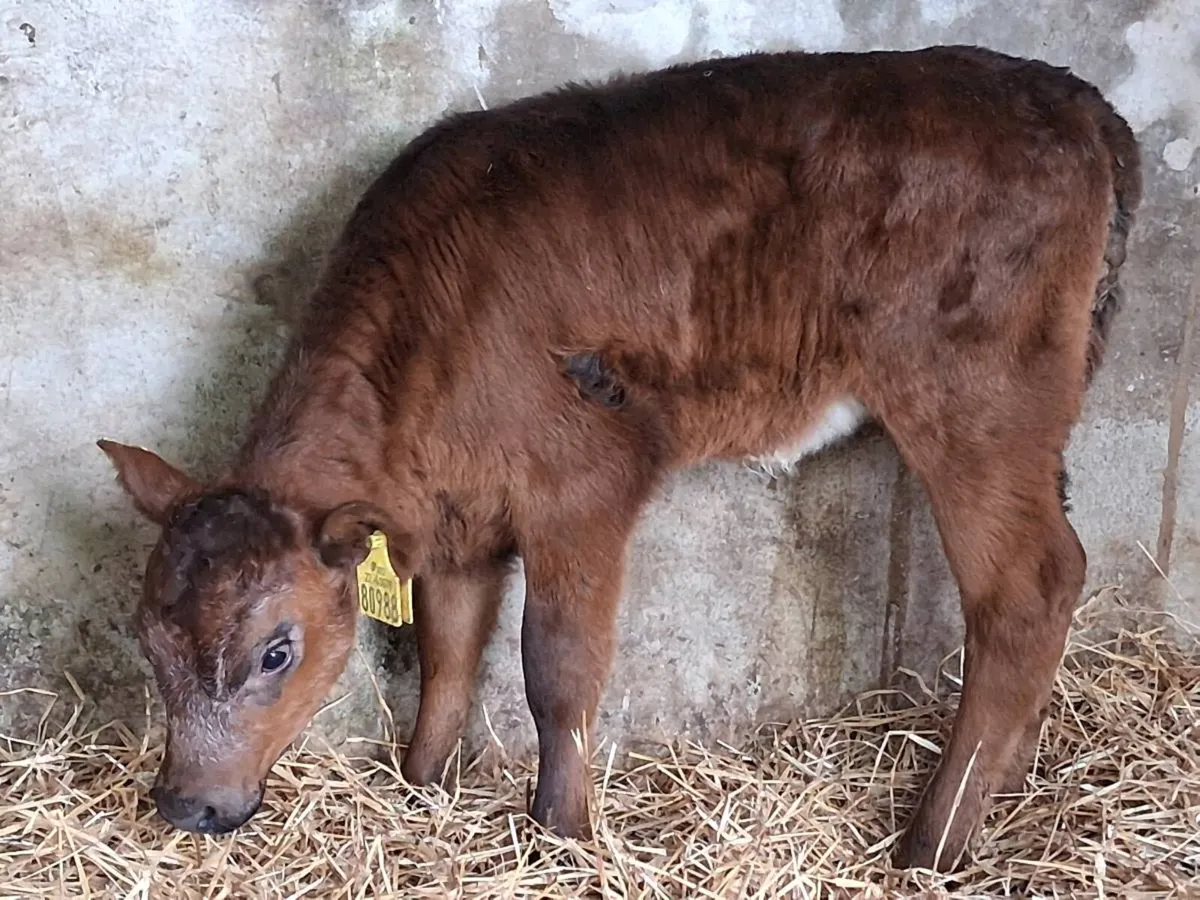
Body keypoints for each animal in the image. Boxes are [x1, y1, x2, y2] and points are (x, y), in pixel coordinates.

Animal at [98, 44, 1141, 873]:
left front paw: (559, 830)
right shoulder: (457, 517)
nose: (187, 806)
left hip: (974, 401)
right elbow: (446, 651)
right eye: (146, 639)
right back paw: (1005, 782)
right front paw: (422, 787)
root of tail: (1066, 93)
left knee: (1028, 590)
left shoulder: (581, 486)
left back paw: (933, 840)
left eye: (277, 652)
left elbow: (555, 668)